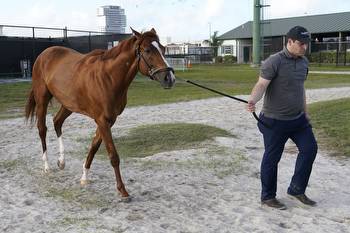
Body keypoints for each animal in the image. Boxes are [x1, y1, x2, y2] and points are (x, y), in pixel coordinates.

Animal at [25, 28, 175, 198]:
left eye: (163, 49)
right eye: (148, 50)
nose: (169, 78)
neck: (108, 78)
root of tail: (44, 54)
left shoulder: (108, 120)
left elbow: (94, 147)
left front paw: (84, 177)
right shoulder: (102, 121)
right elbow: (113, 155)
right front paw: (122, 190)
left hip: (68, 104)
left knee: (57, 122)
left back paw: (61, 161)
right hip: (42, 100)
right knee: (42, 129)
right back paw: (47, 166)